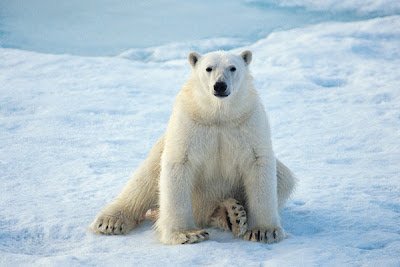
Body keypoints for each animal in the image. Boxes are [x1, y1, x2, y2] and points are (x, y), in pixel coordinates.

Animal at [91, 49, 296, 245]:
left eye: (233, 68)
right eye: (208, 68)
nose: (220, 85)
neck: (218, 115)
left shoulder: (248, 122)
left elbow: (258, 163)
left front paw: (264, 232)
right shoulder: (189, 122)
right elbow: (179, 164)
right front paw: (187, 234)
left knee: (284, 178)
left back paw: (232, 214)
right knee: (143, 181)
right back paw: (110, 221)